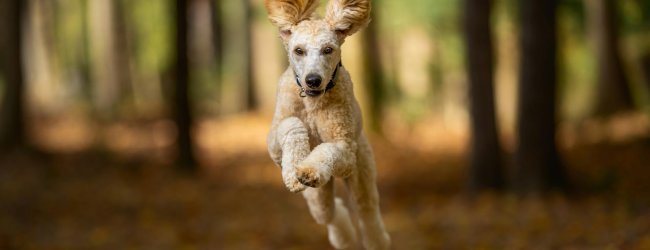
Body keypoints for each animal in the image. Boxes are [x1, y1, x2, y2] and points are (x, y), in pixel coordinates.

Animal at [264, 0, 390, 248]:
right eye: (299, 50)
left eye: (328, 49)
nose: (313, 80)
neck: (312, 101)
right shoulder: (274, 144)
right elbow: (291, 123)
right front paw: (293, 172)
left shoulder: (346, 152)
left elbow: (328, 150)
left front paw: (309, 169)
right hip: (318, 197)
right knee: (331, 213)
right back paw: (345, 238)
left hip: (361, 172)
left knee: (367, 213)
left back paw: (375, 241)